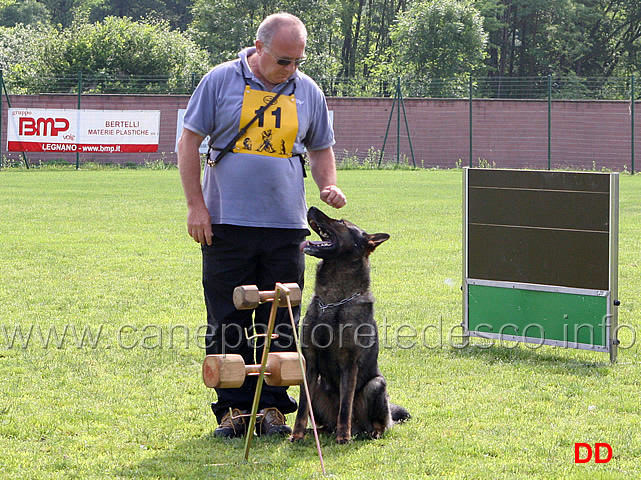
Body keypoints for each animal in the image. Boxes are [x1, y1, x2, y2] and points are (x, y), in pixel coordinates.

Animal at [292, 204, 410, 444]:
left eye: (342, 222)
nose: (312, 207)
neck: (333, 301)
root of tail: (360, 428)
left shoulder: (349, 363)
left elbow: (345, 405)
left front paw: (343, 437)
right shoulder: (310, 363)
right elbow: (302, 408)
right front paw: (297, 434)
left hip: (377, 385)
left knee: (380, 422)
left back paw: (369, 431)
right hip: (317, 387)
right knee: (323, 421)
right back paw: (317, 431)